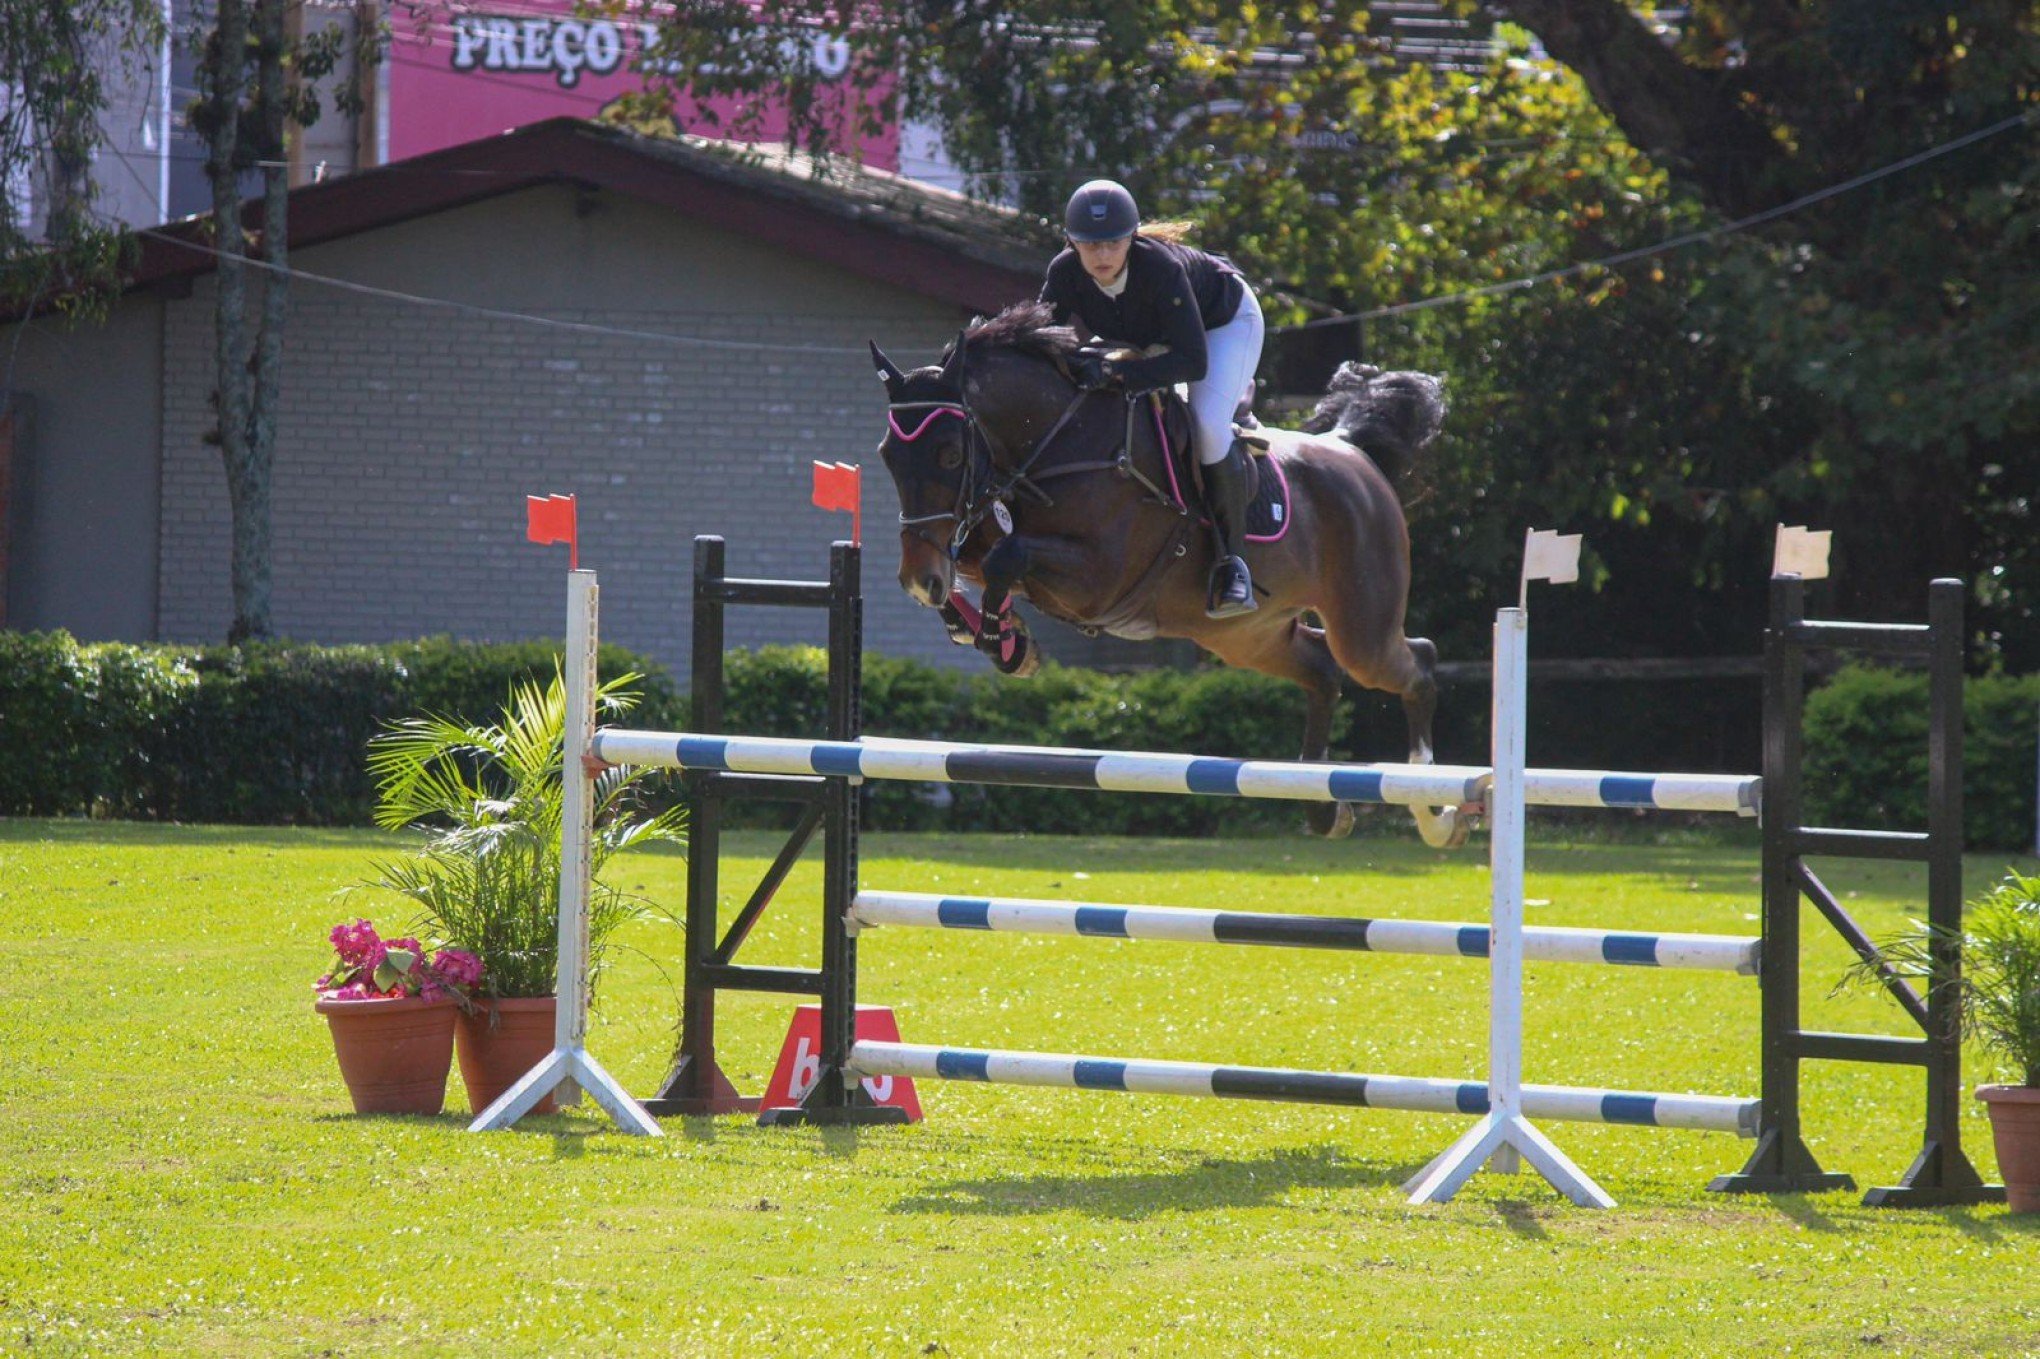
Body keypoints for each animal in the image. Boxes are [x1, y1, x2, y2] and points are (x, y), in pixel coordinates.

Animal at [869, 302, 1476, 840]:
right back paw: (1325, 807)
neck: (1057, 444)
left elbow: (1006, 558)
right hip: (1247, 637)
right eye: (886, 457)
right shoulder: (975, 532)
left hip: (1360, 627)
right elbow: (973, 562)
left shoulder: (1099, 577)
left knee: (1416, 664)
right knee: (1323, 670)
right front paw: (990, 631)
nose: (917, 577)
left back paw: (1436, 813)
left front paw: (1003, 642)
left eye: (950, 453)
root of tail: (1350, 450)